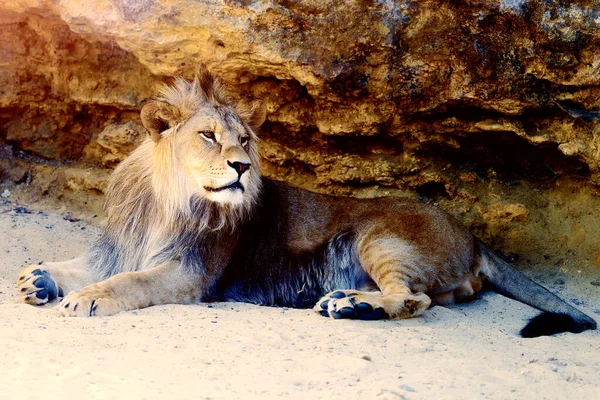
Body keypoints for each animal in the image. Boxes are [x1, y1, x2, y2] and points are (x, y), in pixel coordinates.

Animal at [16, 69, 596, 338]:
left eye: (244, 140)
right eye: (208, 136)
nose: (242, 168)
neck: (167, 201)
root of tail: (474, 236)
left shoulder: (190, 272)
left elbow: (127, 283)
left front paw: (87, 298)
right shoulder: (115, 249)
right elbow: (80, 265)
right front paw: (39, 278)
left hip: (378, 235)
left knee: (414, 299)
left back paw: (352, 306)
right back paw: (347, 300)